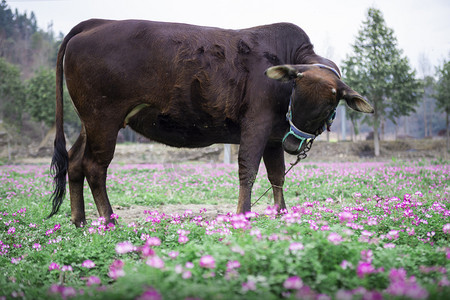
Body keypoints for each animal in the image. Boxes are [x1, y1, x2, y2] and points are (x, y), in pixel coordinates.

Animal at [48, 18, 372, 226]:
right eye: (296, 93)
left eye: (328, 104)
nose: (293, 143)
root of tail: (95, 23)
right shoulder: (256, 125)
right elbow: (248, 170)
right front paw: (243, 216)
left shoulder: (273, 137)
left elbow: (277, 175)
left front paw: (282, 213)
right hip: (103, 119)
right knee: (94, 167)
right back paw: (109, 221)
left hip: (89, 123)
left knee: (75, 162)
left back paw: (79, 220)